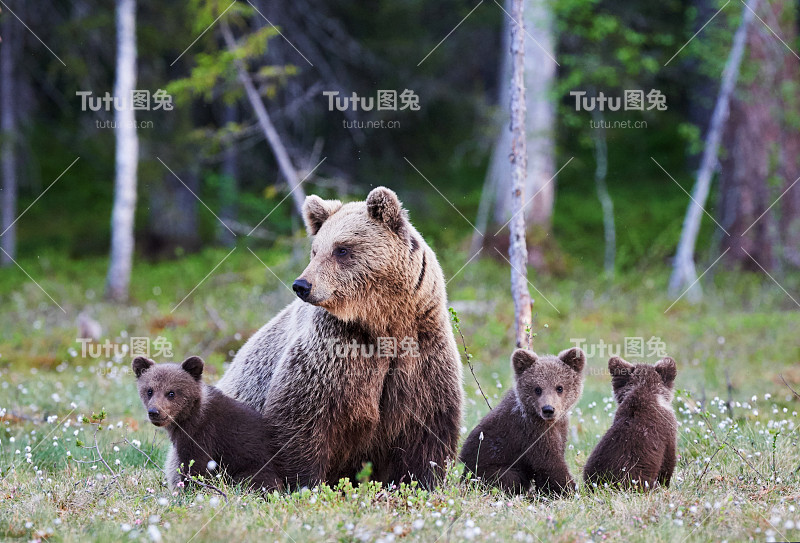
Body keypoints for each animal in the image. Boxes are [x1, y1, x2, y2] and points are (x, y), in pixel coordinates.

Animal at [217, 187, 462, 488]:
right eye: (315, 250)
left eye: (341, 249)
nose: (302, 285)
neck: (384, 323)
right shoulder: (333, 352)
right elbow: (302, 420)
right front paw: (303, 483)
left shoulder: (422, 353)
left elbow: (426, 429)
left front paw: (422, 481)